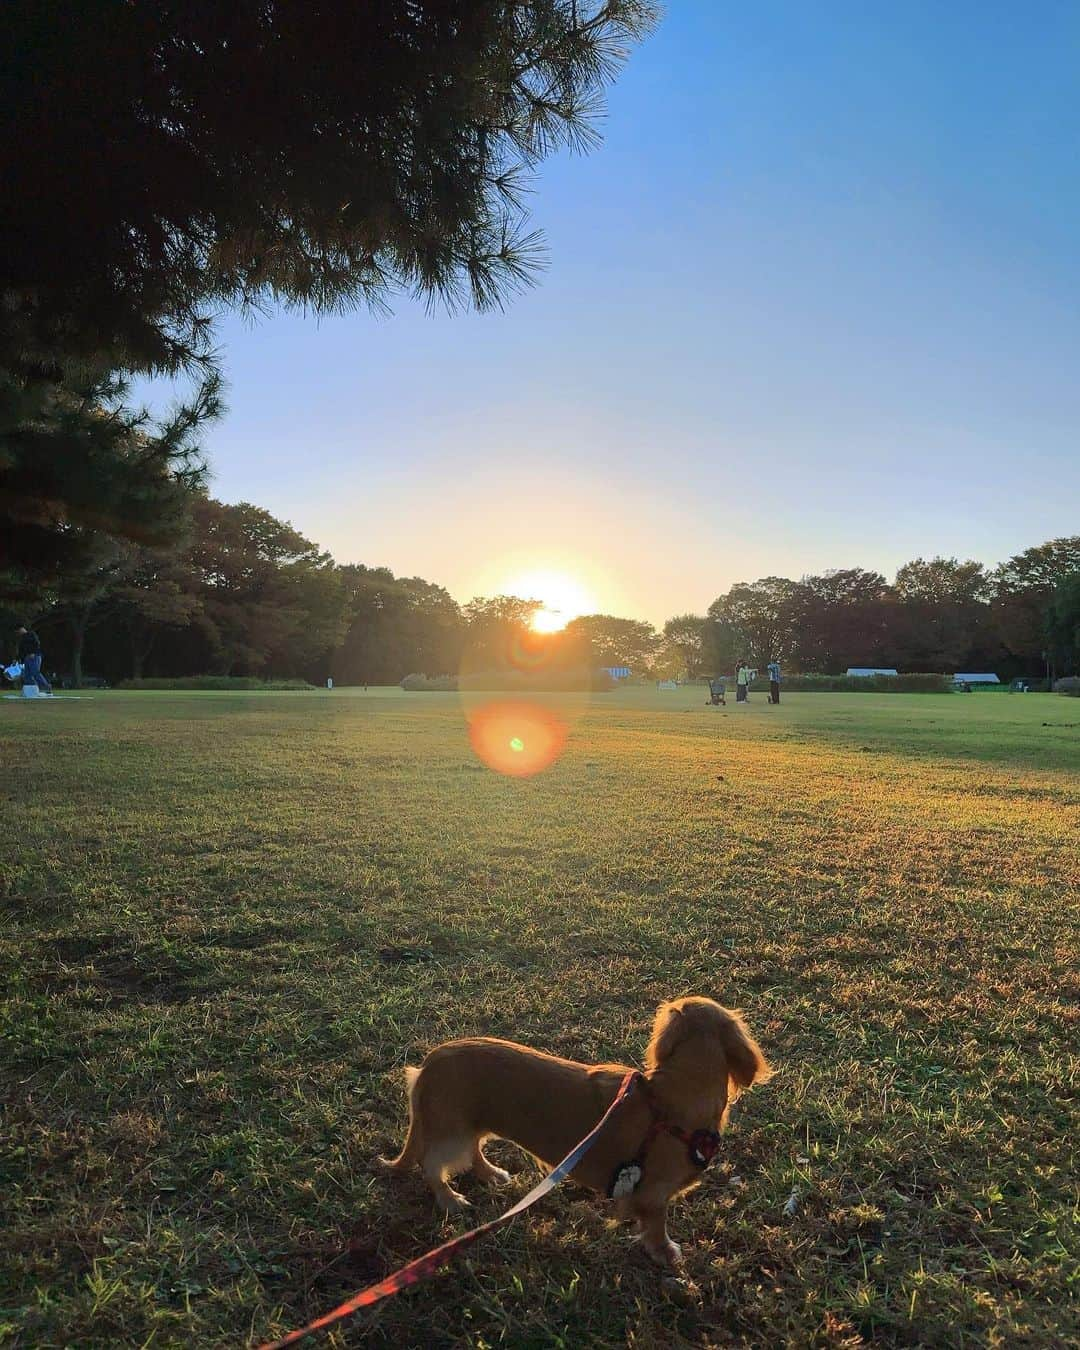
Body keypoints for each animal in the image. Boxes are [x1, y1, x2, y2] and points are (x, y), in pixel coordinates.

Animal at [383, 993, 772, 1263]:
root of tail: (429, 1062)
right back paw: (449, 1199)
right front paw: (665, 1252)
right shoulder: (652, 1194)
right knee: (431, 1166)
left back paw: (491, 1174)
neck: (670, 1097)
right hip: (450, 1130)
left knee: (474, 1149)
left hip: (470, 1123)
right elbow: (656, 1226)